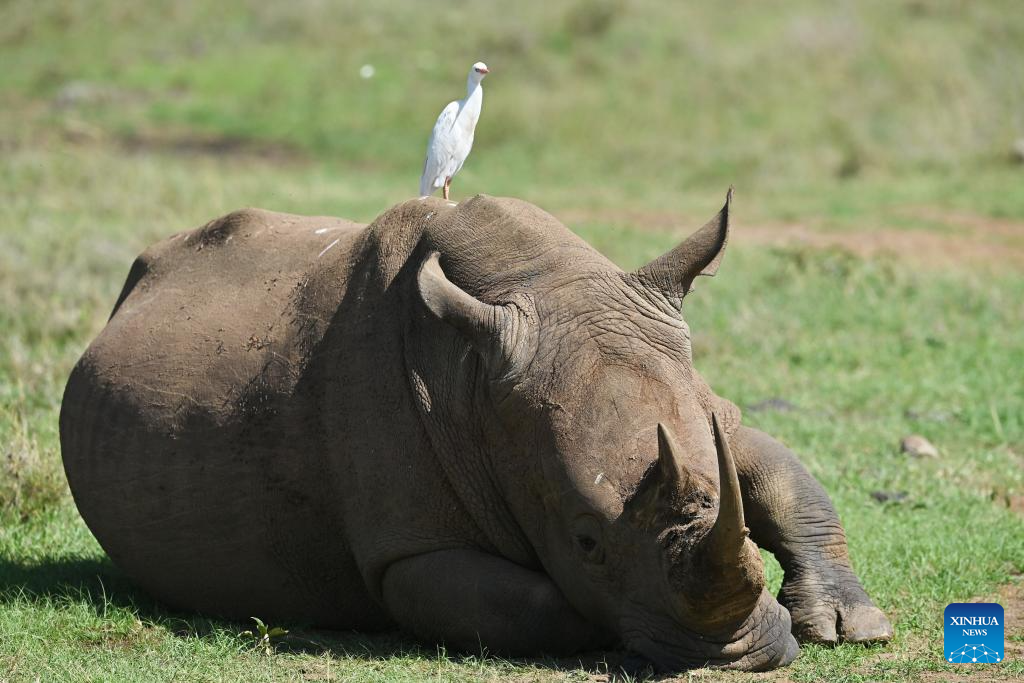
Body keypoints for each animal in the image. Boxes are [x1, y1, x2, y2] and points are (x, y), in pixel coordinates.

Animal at [59, 191, 892, 671]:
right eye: (586, 541)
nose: (740, 653)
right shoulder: (407, 547)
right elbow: (531, 601)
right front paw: (611, 630)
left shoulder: (708, 408)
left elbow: (786, 480)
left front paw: (854, 623)